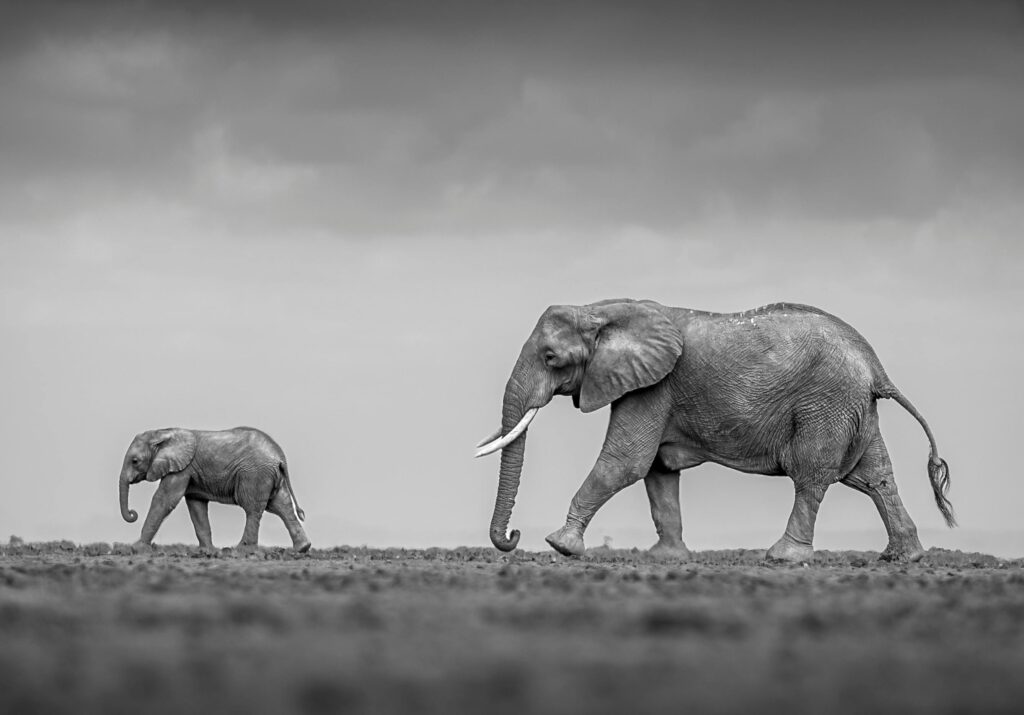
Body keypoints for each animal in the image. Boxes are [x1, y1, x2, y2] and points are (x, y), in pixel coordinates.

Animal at [117, 424, 309, 553]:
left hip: (255, 474)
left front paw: (136, 548)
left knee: (253, 508)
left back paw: (239, 550)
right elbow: (196, 506)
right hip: (271, 477)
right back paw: (302, 549)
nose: (133, 513)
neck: (162, 433)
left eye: (135, 461)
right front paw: (207, 551)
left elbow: (164, 499)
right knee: (282, 506)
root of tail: (280, 457)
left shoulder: (182, 468)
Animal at [475, 297, 954, 561]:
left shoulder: (653, 387)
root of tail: (876, 366)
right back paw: (903, 557)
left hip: (827, 402)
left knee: (812, 475)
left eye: (551, 358)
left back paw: (783, 557)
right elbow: (657, 472)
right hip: (853, 406)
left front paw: (560, 545)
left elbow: (625, 463)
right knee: (875, 476)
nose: (513, 537)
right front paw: (667, 557)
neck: (603, 310)